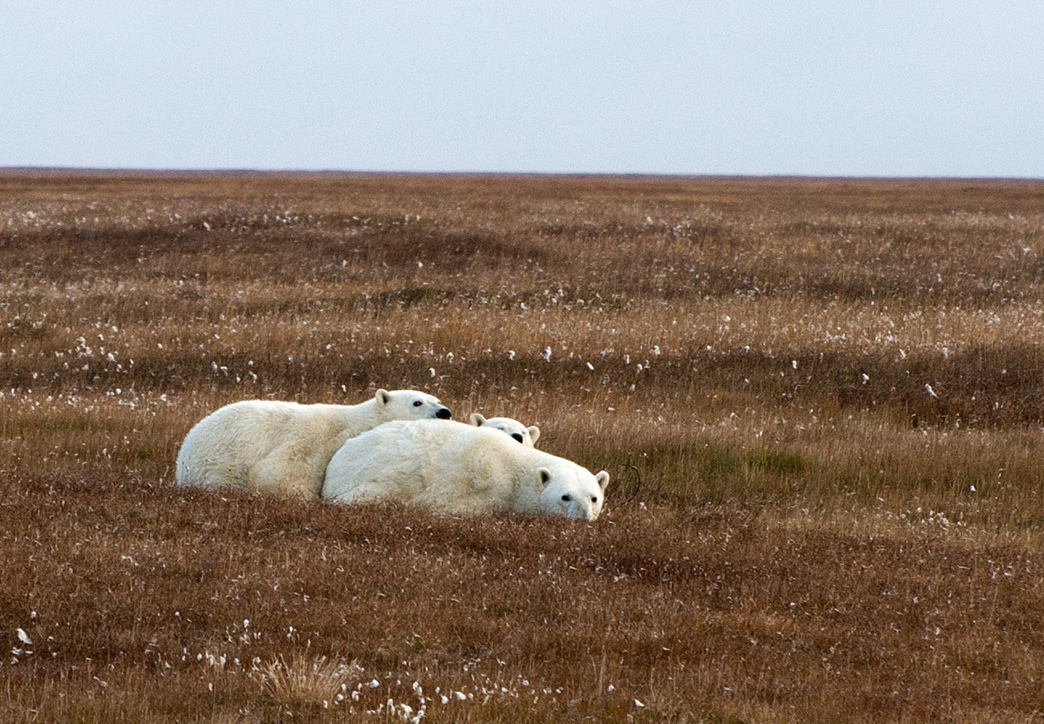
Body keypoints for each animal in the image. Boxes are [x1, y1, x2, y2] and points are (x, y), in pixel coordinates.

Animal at [176, 390, 453, 497]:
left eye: (437, 399)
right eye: (417, 402)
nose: (445, 412)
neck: (349, 425)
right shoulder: (310, 441)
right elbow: (276, 473)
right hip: (218, 468)